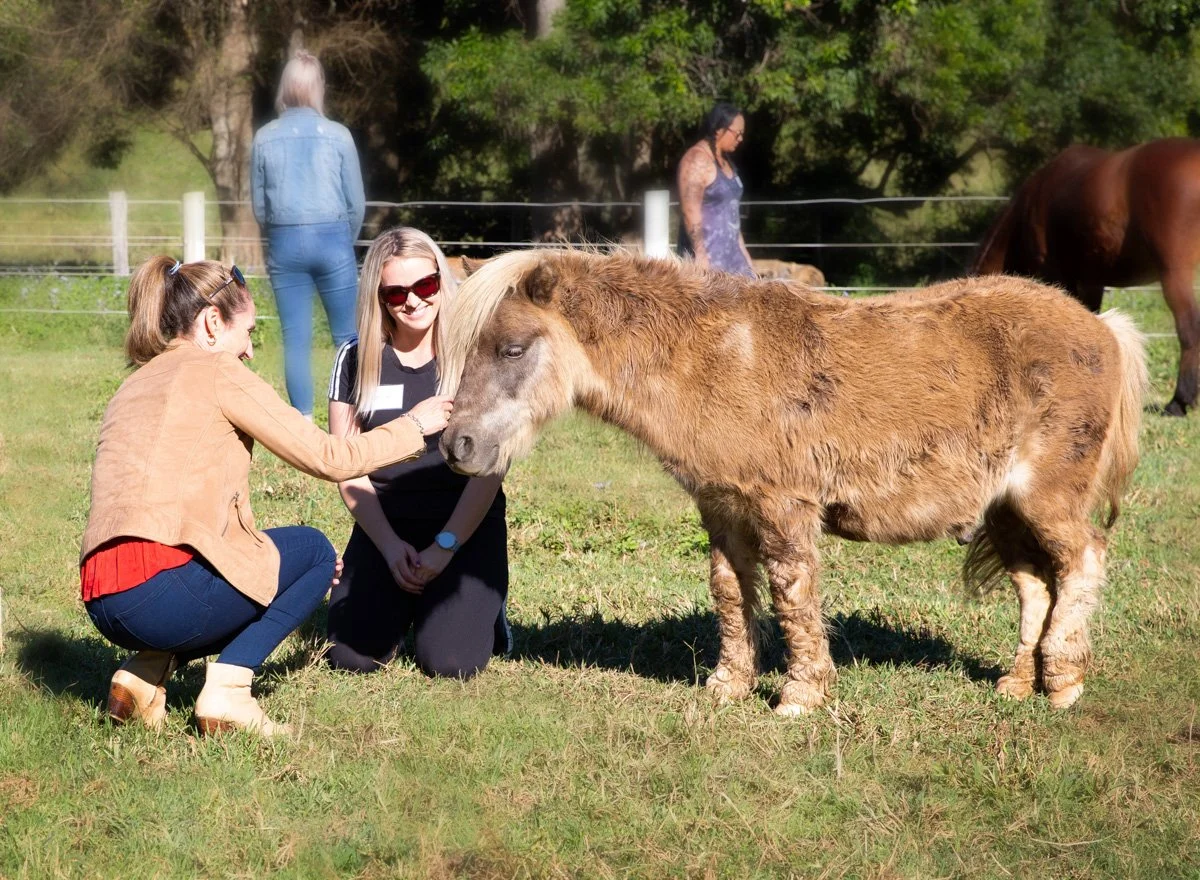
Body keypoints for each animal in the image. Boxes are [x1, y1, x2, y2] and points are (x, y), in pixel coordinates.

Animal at [437, 250, 1147, 715]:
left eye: (512, 349)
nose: (456, 445)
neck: (718, 360)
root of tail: (1101, 327)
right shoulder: (722, 507)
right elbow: (730, 593)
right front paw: (728, 686)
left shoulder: (783, 506)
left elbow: (791, 591)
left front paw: (801, 696)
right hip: (1006, 512)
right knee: (1036, 585)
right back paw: (1018, 686)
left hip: (1044, 499)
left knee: (1083, 560)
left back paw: (1064, 683)